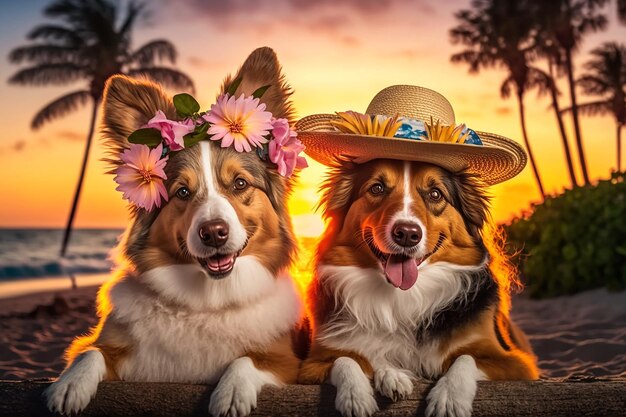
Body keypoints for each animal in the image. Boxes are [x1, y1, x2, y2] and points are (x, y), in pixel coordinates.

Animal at [43, 47, 304, 414]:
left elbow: (247, 361)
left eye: (239, 183)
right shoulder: (110, 345)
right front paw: (68, 385)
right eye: (182, 191)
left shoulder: (286, 360)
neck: (205, 302)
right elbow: (89, 352)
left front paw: (232, 392)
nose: (214, 233)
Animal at [296, 85, 536, 416]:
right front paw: (369, 388)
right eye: (377, 188)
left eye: (435, 194)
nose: (407, 234)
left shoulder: (510, 362)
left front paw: (449, 397)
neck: (403, 298)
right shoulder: (315, 361)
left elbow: (465, 359)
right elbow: (350, 359)